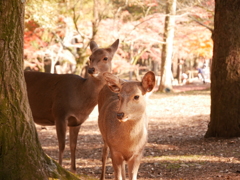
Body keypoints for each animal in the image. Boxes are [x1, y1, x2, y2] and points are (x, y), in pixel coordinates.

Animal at [23, 38, 119, 172]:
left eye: (105, 58)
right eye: (90, 57)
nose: (91, 70)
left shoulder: (77, 121)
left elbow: (73, 145)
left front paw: (73, 170)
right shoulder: (60, 113)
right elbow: (62, 145)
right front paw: (60, 166)